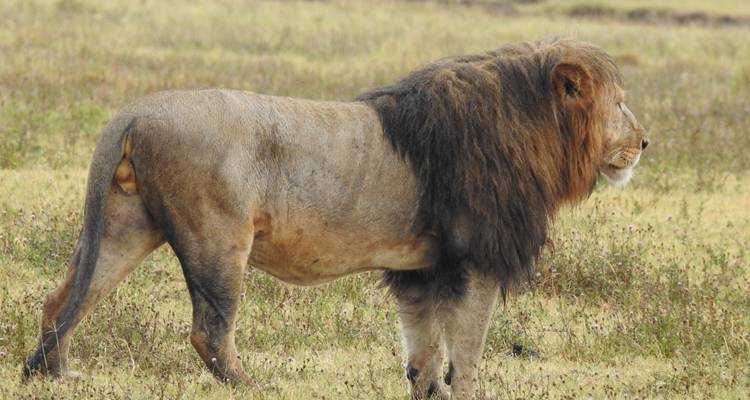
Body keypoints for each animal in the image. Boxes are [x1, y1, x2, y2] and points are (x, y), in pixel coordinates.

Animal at [24, 38, 648, 399]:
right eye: (620, 103)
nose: (645, 141)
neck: (536, 129)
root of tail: (134, 111)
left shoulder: (422, 267)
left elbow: (424, 352)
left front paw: (427, 393)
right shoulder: (476, 257)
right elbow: (467, 351)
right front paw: (467, 393)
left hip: (123, 227)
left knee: (61, 302)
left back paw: (57, 375)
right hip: (218, 239)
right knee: (209, 330)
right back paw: (256, 387)